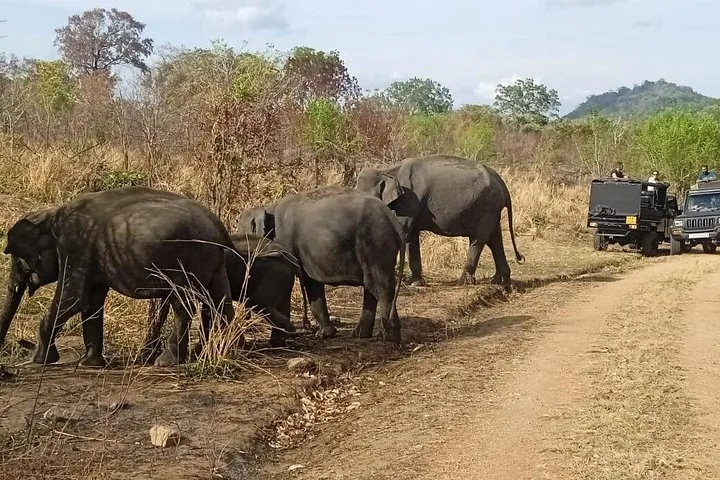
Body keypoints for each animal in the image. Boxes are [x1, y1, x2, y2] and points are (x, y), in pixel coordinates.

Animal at [1, 186, 237, 368]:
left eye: (18, 260)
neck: (51, 214)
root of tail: (219, 227)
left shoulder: (75, 247)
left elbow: (73, 300)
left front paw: (40, 361)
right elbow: (92, 304)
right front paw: (90, 364)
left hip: (187, 261)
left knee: (183, 305)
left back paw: (166, 362)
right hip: (214, 261)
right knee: (220, 301)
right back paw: (225, 351)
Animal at [142, 233, 310, 358]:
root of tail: (291, 258)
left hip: (274, 274)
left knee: (258, 302)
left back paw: (283, 336)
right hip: (283, 276)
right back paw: (278, 342)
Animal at [236, 186, 406, 343]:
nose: (247, 324)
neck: (269, 207)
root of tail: (393, 220)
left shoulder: (285, 243)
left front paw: (316, 334)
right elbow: (312, 282)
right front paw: (325, 334)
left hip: (376, 244)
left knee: (381, 287)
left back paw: (388, 337)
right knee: (371, 286)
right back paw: (361, 335)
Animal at [355, 154, 525, 287]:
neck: (385, 171)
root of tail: (502, 183)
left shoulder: (408, 201)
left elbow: (403, 232)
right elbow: (411, 238)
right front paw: (415, 284)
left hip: (488, 207)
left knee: (479, 239)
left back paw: (463, 282)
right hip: (492, 209)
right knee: (494, 239)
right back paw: (499, 281)